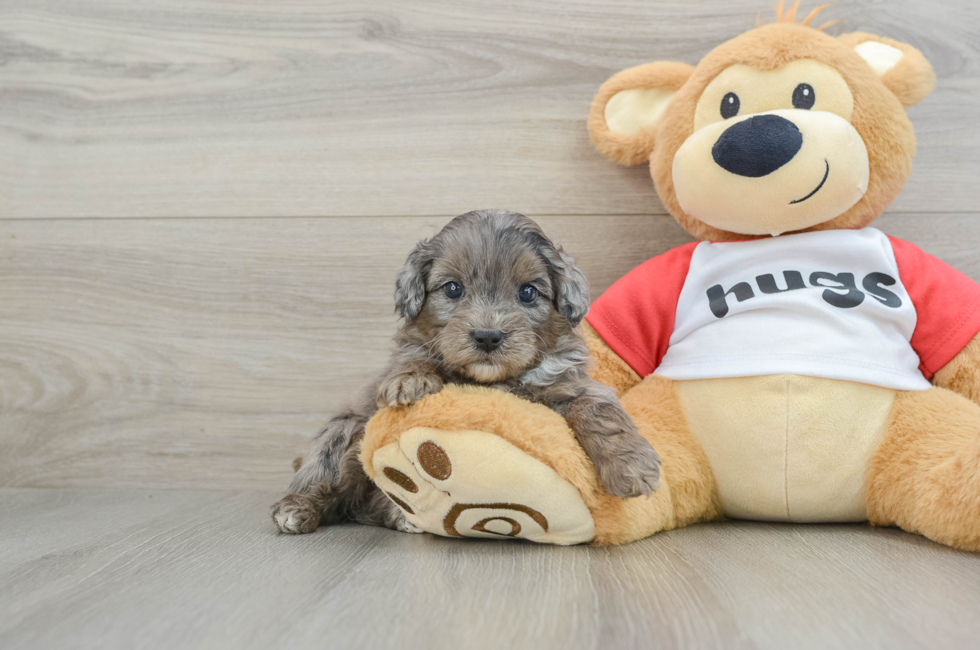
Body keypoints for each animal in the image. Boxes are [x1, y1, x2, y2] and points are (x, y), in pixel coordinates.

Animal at [272, 210, 664, 536]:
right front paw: (411, 379)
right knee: (322, 476)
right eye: (453, 289)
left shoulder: (569, 383)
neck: (493, 378)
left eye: (528, 292)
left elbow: (598, 410)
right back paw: (296, 509)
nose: (488, 336)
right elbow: (413, 358)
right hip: (343, 435)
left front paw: (631, 467)